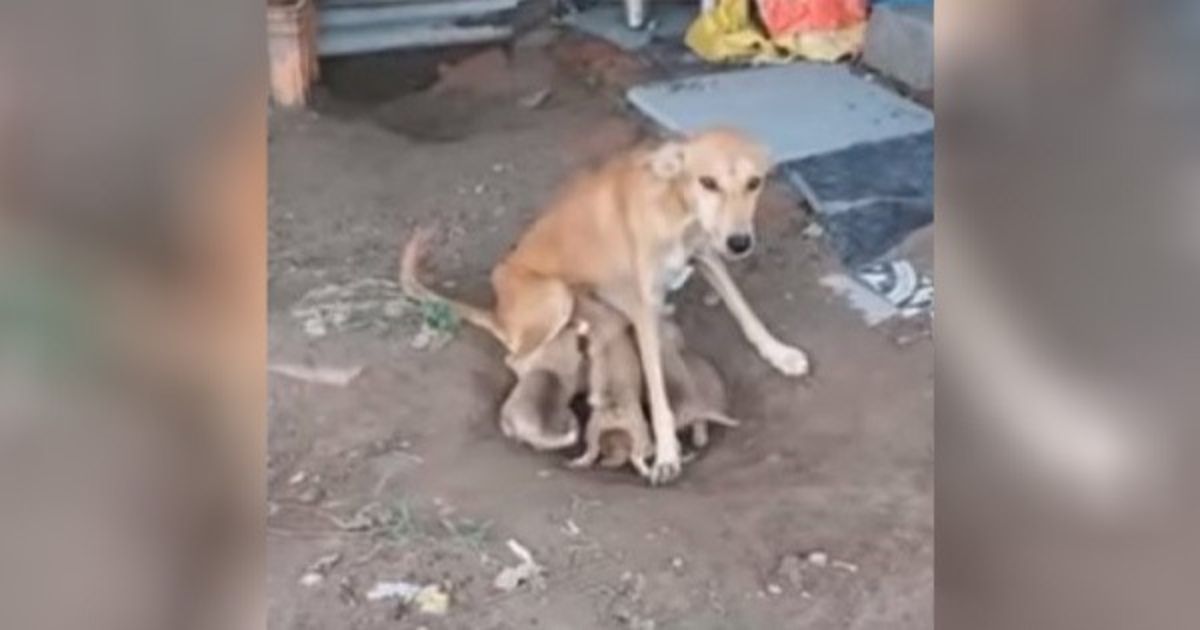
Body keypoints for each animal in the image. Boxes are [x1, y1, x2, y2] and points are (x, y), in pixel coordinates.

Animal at [403, 126, 806, 482]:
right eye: (707, 182)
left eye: (754, 183)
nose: (740, 242)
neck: (675, 208)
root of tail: (498, 313)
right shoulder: (643, 308)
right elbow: (658, 390)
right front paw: (667, 453)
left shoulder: (707, 256)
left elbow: (744, 311)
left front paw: (780, 354)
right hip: (556, 297)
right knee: (516, 358)